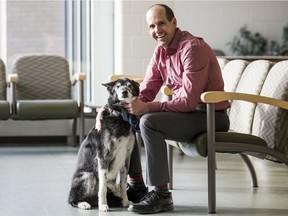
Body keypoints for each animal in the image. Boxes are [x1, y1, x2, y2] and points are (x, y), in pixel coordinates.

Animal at [68, 77, 140, 211]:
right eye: (117, 86)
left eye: (129, 86)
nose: (124, 92)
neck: (119, 115)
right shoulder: (103, 158)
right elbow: (102, 187)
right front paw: (102, 205)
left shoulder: (126, 159)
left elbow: (123, 184)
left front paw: (126, 202)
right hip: (88, 176)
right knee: (72, 200)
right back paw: (84, 203)